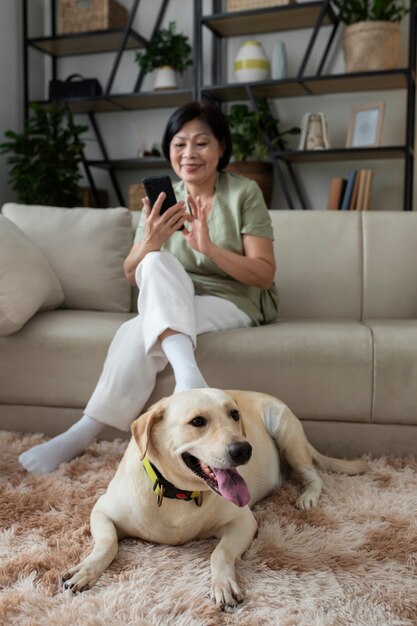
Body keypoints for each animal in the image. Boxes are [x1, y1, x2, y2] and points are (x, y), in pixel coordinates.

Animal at [61, 388, 364, 608]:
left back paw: (308, 497)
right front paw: (86, 569)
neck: (178, 493)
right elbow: (107, 543)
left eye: (234, 415)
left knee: (313, 475)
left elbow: (221, 552)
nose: (244, 450)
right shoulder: (101, 511)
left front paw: (222, 584)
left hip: (286, 432)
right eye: (198, 421)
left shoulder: (243, 521)